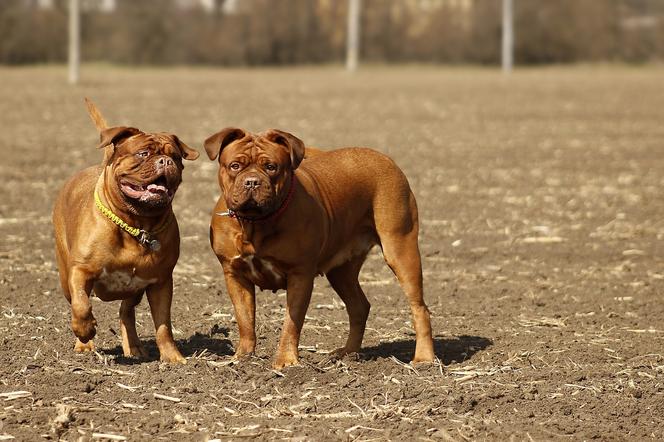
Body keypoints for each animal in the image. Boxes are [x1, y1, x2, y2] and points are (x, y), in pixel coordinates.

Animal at [52, 100, 198, 362]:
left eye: (175, 156)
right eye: (143, 153)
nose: (165, 161)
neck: (136, 223)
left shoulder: (161, 282)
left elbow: (163, 325)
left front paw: (172, 357)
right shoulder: (80, 271)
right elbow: (81, 305)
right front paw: (86, 331)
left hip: (135, 288)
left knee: (126, 312)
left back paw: (134, 347)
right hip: (64, 275)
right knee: (76, 301)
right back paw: (84, 344)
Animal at [208, 129, 436, 370]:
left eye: (271, 166)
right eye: (235, 166)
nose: (252, 182)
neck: (255, 223)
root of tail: (385, 159)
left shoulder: (300, 275)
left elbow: (291, 323)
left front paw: (286, 361)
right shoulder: (234, 274)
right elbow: (244, 318)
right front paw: (243, 357)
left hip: (400, 249)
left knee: (419, 307)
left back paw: (424, 358)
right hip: (341, 272)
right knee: (359, 306)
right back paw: (347, 353)